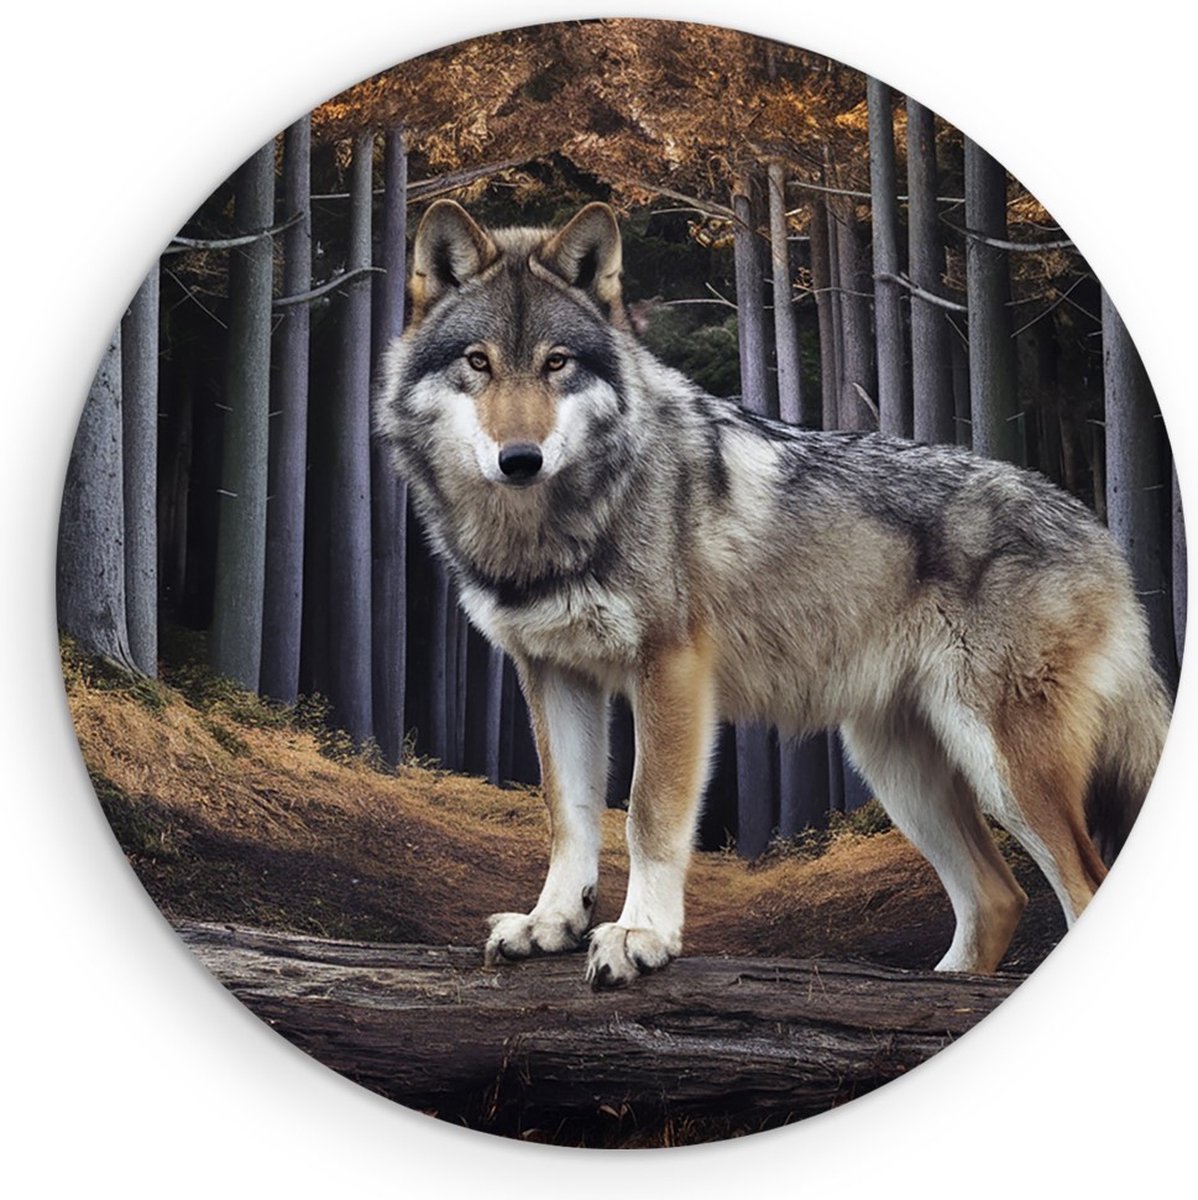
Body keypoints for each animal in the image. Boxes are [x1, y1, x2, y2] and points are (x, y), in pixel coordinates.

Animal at [375, 199, 1171, 988]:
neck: (557, 528)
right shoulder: (552, 672)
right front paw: (550, 924)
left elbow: (647, 814)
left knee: (1080, 884)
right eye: (478, 362)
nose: (521, 459)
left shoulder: (671, 670)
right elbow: (567, 813)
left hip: (1002, 766)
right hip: (899, 769)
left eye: (556, 363)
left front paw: (641, 934)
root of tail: (1098, 532)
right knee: (1000, 897)